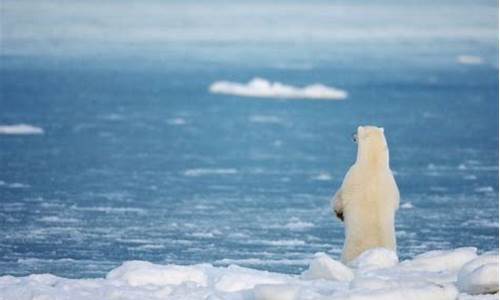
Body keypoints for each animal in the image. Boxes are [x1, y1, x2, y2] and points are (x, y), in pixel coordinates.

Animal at [330, 125, 400, 264]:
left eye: (357, 131)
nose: (352, 135)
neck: (374, 164)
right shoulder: (392, 183)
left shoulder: (352, 175)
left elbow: (340, 198)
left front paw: (338, 213)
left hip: (348, 251)